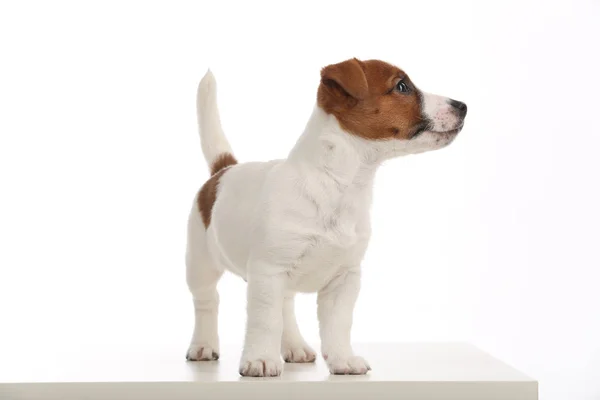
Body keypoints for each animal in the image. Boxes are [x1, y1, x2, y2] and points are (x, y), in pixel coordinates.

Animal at [185, 57, 466, 376]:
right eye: (402, 86)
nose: (463, 106)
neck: (339, 185)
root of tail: (223, 170)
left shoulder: (344, 278)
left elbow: (338, 324)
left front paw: (343, 359)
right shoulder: (268, 271)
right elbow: (265, 321)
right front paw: (260, 360)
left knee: (286, 306)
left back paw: (295, 346)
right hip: (201, 263)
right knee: (207, 302)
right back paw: (203, 345)